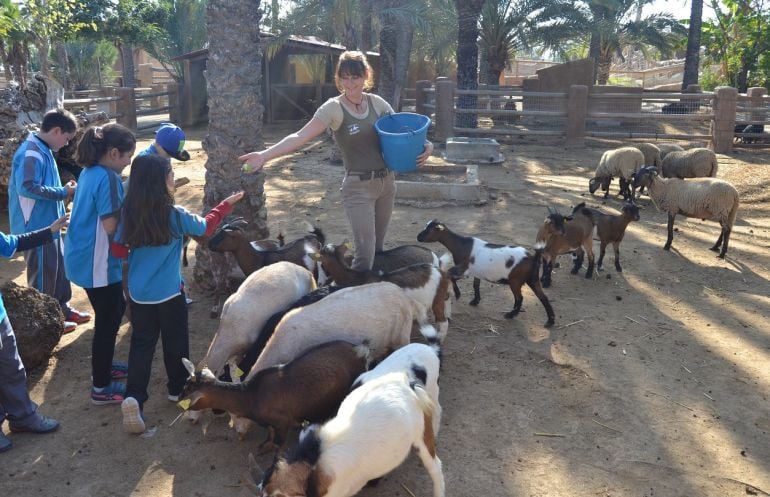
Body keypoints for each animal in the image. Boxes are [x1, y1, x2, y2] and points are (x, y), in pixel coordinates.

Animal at [182, 340, 370, 448]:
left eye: (188, 388)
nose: (179, 398)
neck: (250, 396)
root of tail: (360, 350)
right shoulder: (271, 424)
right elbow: (268, 438)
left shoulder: (283, 422)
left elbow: (278, 445)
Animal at [414, 220, 552, 326]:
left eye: (430, 230)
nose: (418, 237)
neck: (461, 245)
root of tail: (532, 258)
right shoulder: (475, 272)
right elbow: (476, 285)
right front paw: (475, 300)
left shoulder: (463, 269)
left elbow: (450, 275)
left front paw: (458, 294)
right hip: (532, 278)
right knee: (543, 297)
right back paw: (550, 321)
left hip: (515, 281)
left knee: (520, 298)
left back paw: (511, 314)